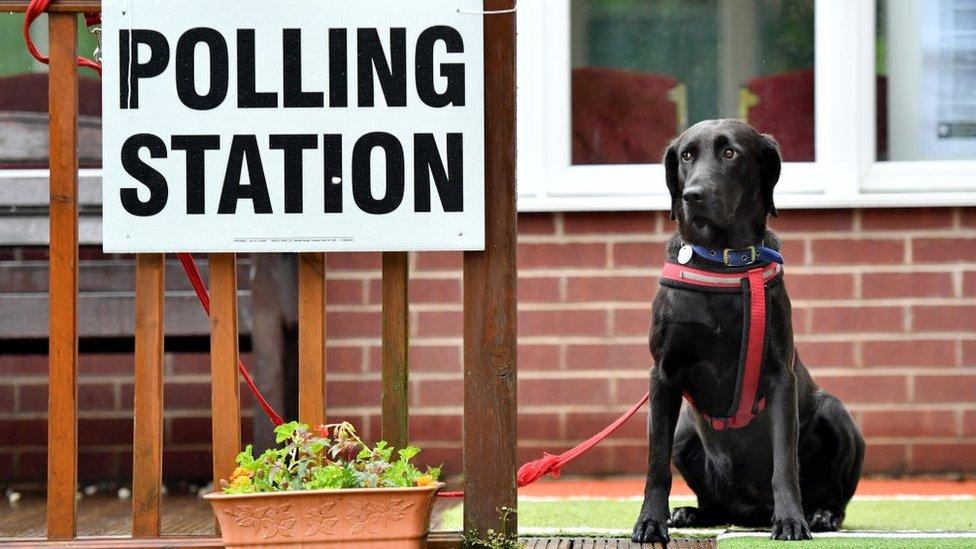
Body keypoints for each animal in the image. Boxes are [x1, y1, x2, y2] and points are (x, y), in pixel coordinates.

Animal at [636, 117, 864, 540]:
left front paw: (791, 521)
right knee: (712, 501)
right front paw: (649, 522)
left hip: (835, 413)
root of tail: (751, 510)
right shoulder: (663, 375)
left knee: (836, 497)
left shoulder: (779, 376)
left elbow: (784, 463)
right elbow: (656, 465)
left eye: (730, 153)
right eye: (687, 156)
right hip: (685, 432)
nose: (693, 196)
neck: (722, 261)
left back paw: (820, 514)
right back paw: (691, 513)